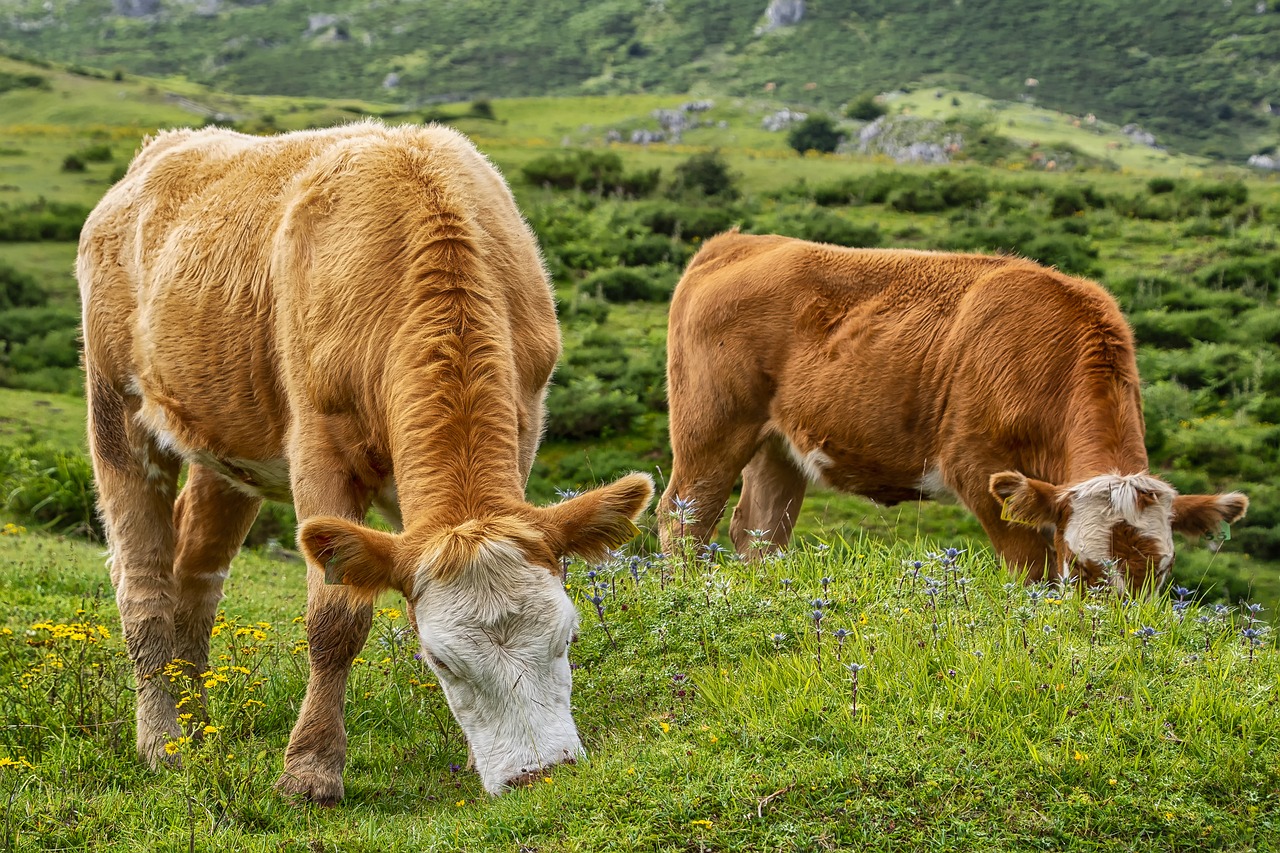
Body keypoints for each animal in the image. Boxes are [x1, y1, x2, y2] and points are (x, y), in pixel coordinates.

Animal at [80, 121, 655, 799]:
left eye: (568, 635)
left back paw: (199, 732)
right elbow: (337, 619)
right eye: (441, 659)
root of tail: (168, 145)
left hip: (226, 439)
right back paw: (163, 743)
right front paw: (310, 768)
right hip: (115, 407)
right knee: (142, 583)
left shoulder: (520, 429)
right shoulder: (317, 449)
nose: (539, 774)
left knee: (195, 577)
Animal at [660, 229, 1249, 594]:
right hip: (710, 429)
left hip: (778, 445)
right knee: (682, 518)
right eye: (1084, 567)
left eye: (1162, 571)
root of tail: (738, 242)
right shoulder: (980, 470)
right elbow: (1032, 574)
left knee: (760, 532)